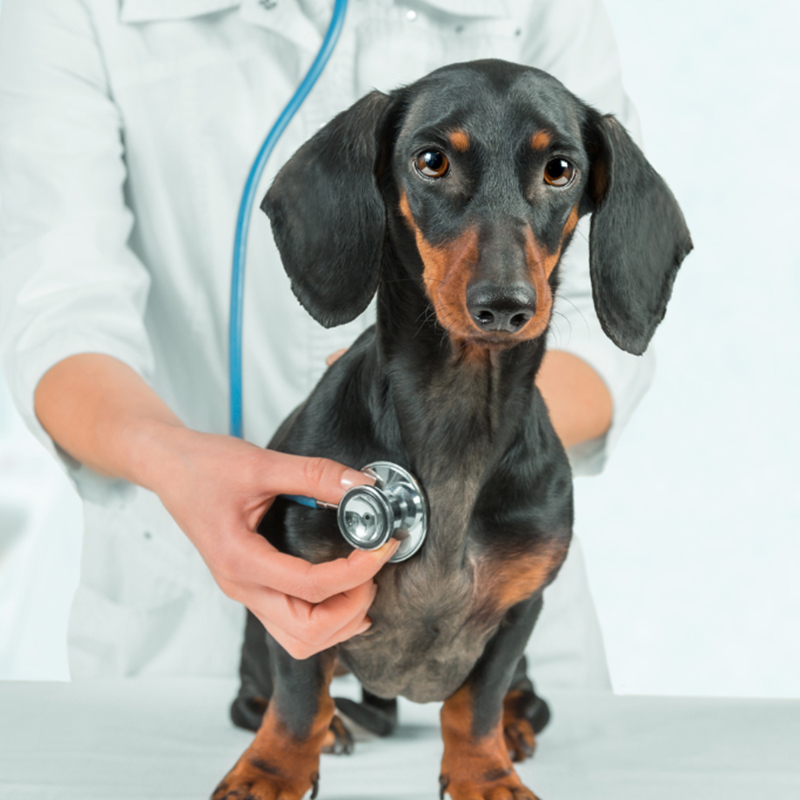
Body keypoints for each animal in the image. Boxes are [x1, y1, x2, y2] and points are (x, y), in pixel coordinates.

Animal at [211, 57, 688, 800]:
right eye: (430, 160)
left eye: (560, 169)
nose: (504, 304)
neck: (457, 416)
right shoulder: (295, 590)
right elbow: (297, 695)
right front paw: (270, 770)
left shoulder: (519, 612)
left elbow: (476, 702)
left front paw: (484, 774)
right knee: (263, 694)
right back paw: (334, 726)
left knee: (522, 700)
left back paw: (516, 727)